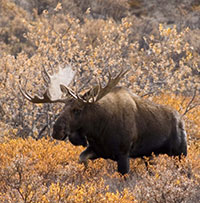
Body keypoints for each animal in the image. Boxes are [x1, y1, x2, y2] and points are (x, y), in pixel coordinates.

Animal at [19, 65, 187, 174]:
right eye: (62, 108)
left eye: (77, 110)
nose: (56, 131)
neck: (97, 130)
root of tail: (180, 120)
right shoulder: (98, 150)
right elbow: (82, 159)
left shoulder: (123, 154)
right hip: (150, 156)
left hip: (180, 153)